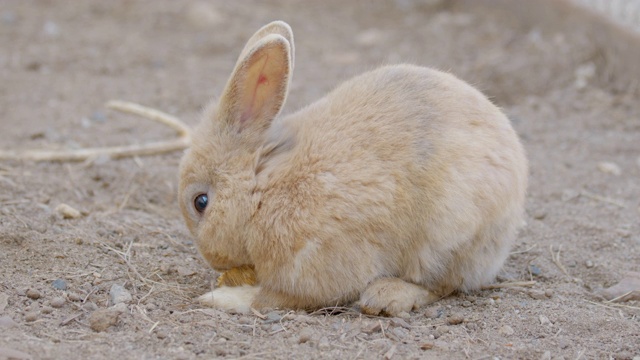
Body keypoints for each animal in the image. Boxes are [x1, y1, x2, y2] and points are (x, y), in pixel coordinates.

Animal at [178, 21, 528, 316]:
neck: (264, 188)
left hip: (447, 238)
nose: (214, 260)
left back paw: (385, 297)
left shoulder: (314, 266)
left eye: (201, 202)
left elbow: (270, 298)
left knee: (442, 285)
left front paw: (220, 298)